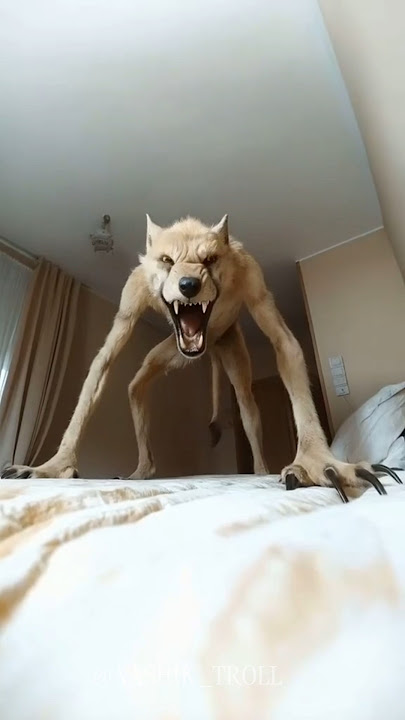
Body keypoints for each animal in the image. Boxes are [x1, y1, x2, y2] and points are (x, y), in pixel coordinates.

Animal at [2, 214, 397, 497]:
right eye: (166, 260)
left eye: (210, 259)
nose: (189, 285)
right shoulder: (132, 298)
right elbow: (101, 365)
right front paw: (53, 466)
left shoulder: (252, 278)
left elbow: (285, 345)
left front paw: (316, 461)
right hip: (170, 356)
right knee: (136, 386)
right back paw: (142, 471)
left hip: (232, 350)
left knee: (247, 407)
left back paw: (259, 470)